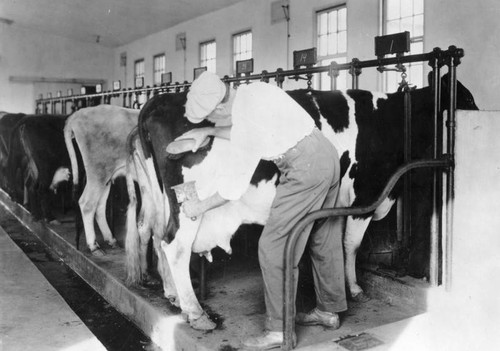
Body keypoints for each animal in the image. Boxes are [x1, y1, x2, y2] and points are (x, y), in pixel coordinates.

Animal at [64, 104, 140, 256]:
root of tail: (78, 113)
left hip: (106, 178)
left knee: (99, 206)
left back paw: (111, 240)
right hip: (98, 173)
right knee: (87, 204)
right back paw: (94, 246)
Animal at [125, 76, 476, 330]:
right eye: (469, 100)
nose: (477, 110)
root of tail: (161, 100)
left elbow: (335, 244)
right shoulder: (366, 193)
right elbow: (351, 245)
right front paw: (354, 288)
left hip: (160, 200)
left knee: (155, 235)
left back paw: (174, 297)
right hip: (188, 207)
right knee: (174, 246)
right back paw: (196, 313)